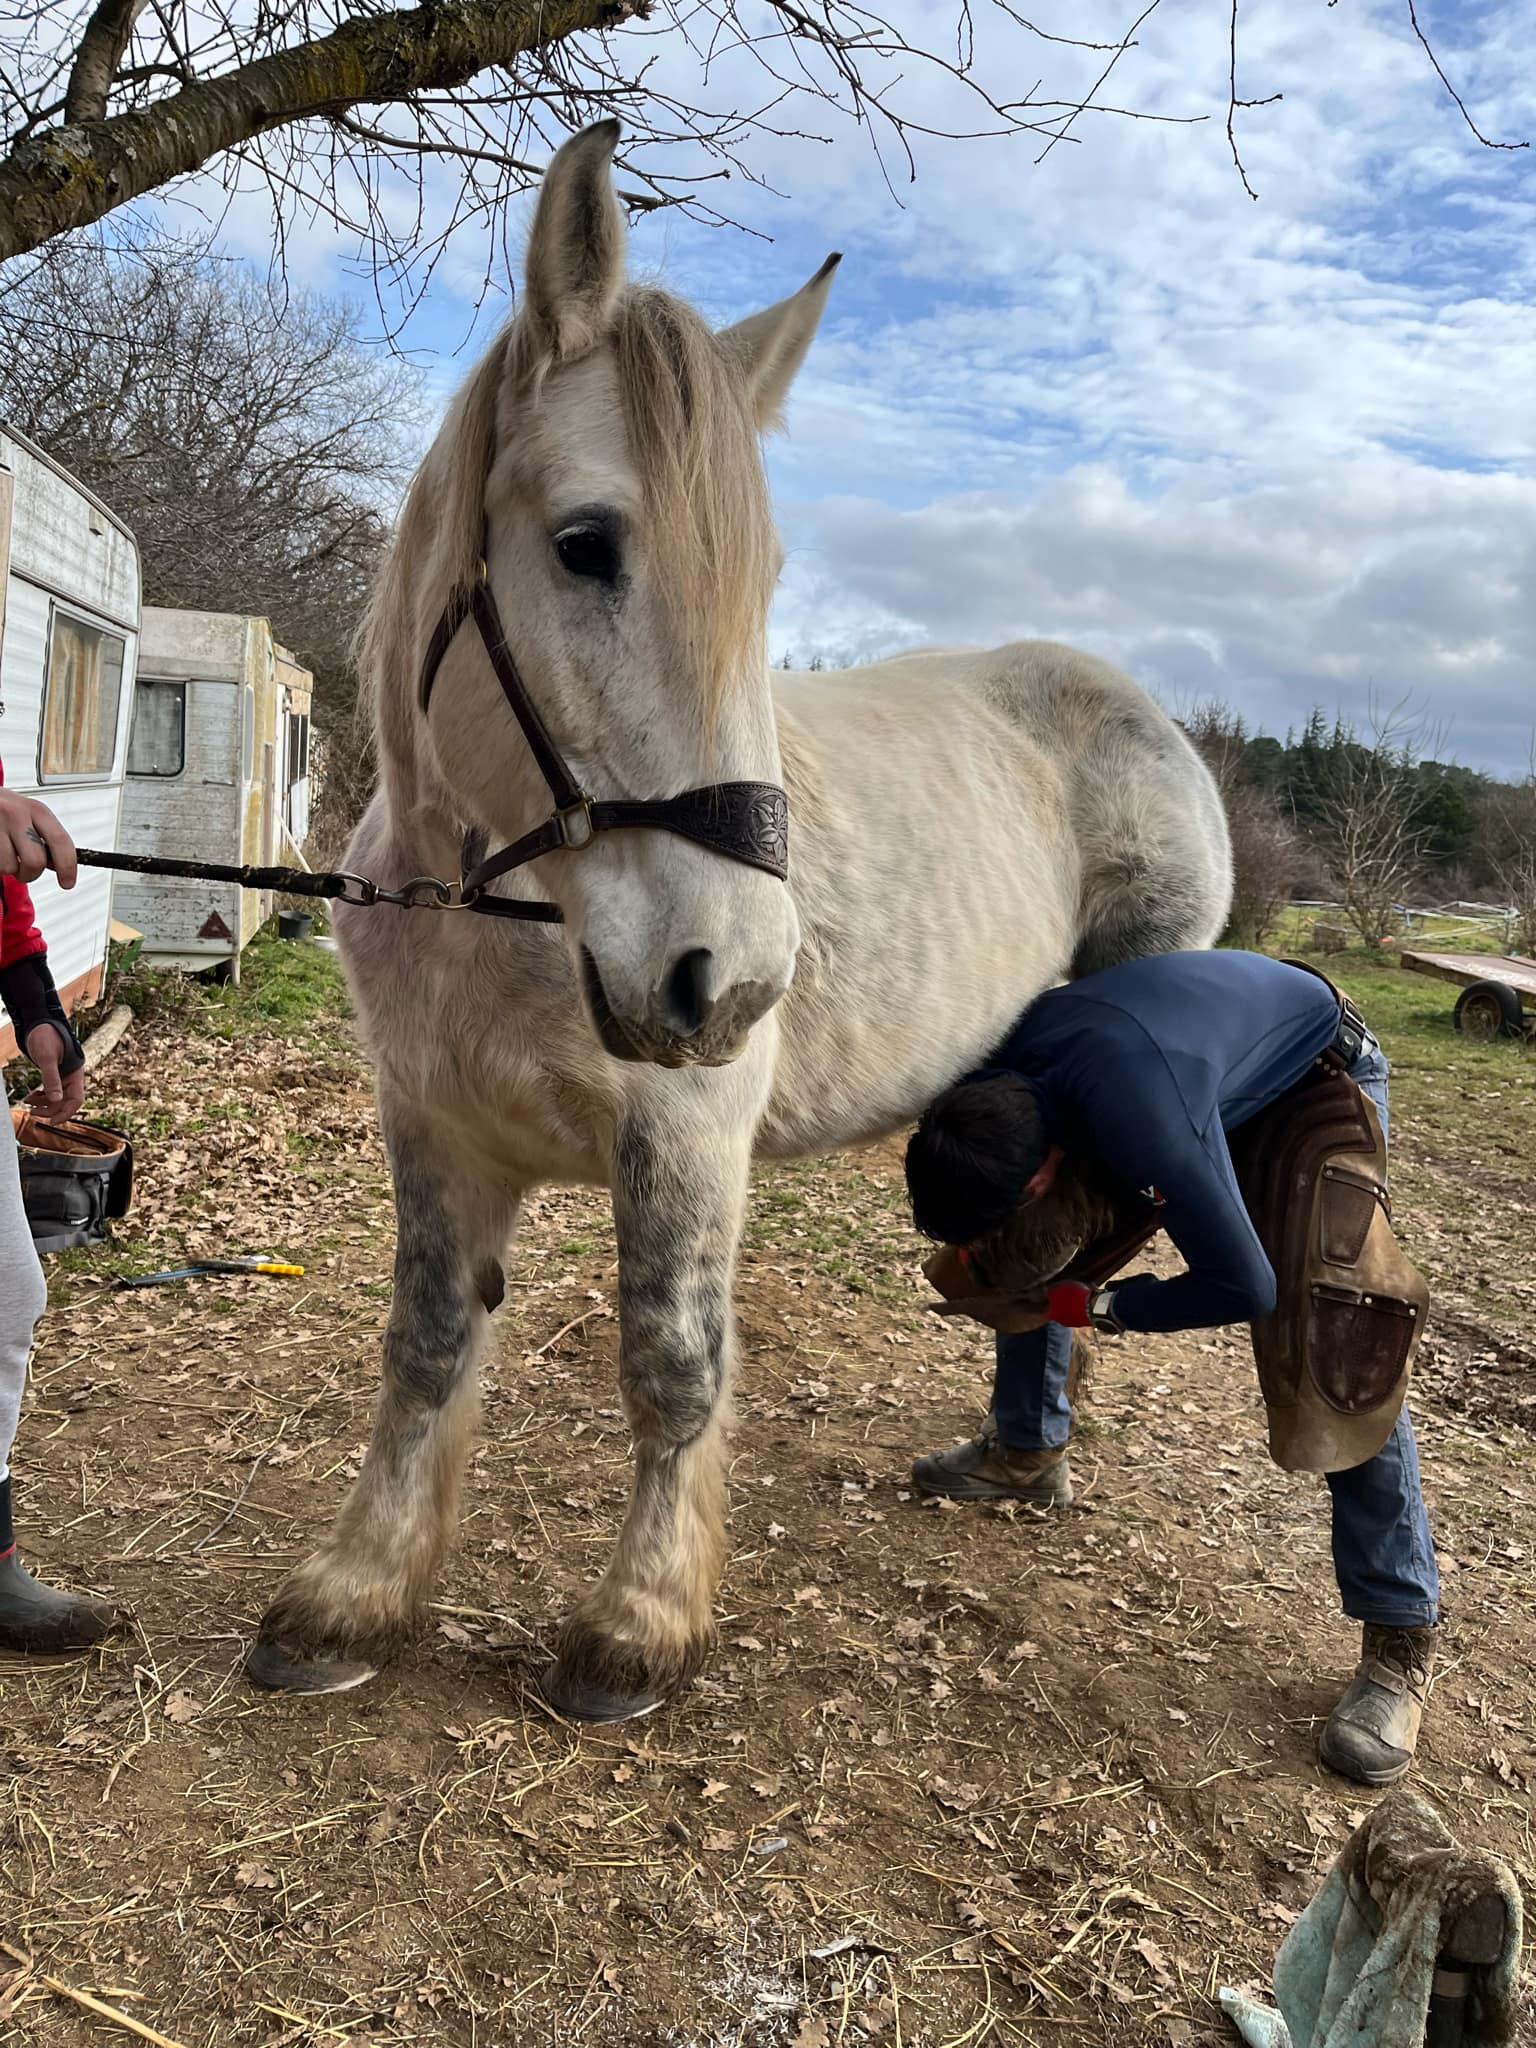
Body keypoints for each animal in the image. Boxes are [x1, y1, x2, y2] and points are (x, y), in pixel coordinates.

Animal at [246, 120, 1233, 1722]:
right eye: (587, 545)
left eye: (760, 585)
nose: (738, 978)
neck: (501, 908)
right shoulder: (436, 1131)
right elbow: (429, 1345)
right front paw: (356, 1594)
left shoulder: (687, 1133)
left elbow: (673, 1364)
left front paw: (642, 1622)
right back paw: (1016, 1454)